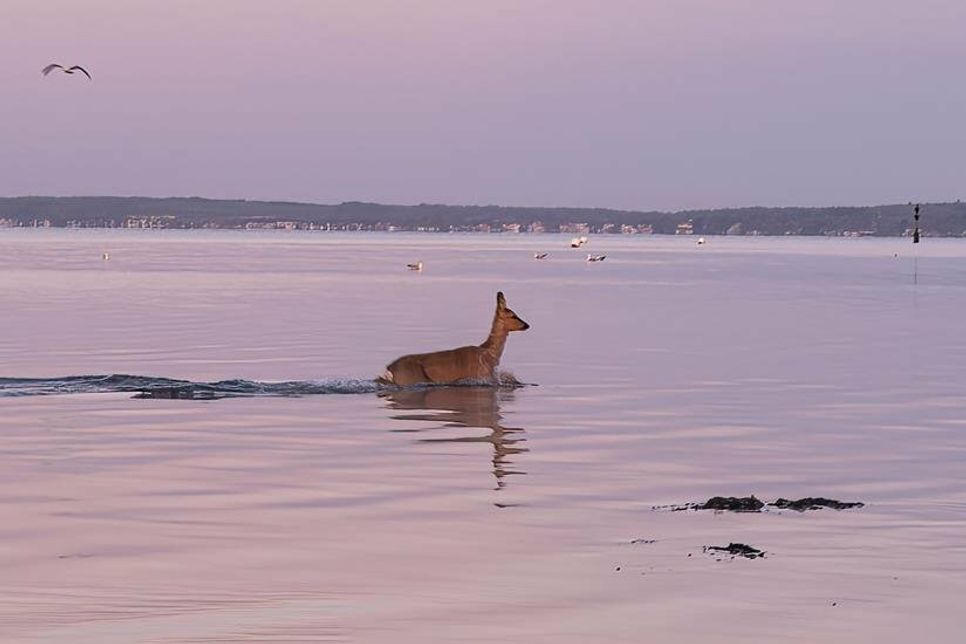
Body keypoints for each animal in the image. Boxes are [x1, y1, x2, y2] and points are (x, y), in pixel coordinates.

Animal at [377, 291, 530, 386]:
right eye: (512, 315)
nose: (527, 325)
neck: (489, 354)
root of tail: (389, 369)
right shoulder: (481, 376)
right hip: (410, 379)